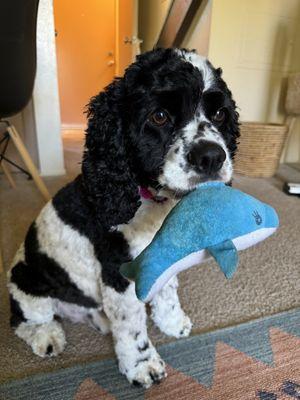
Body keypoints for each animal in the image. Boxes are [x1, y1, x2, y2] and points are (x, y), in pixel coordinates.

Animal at [7, 47, 239, 388]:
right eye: (159, 116)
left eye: (221, 114)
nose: (211, 156)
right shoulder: (119, 272)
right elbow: (132, 325)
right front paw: (142, 366)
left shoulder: (160, 256)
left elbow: (167, 293)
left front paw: (172, 322)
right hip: (27, 287)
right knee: (24, 320)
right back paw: (47, 337)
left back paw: (100, 319)